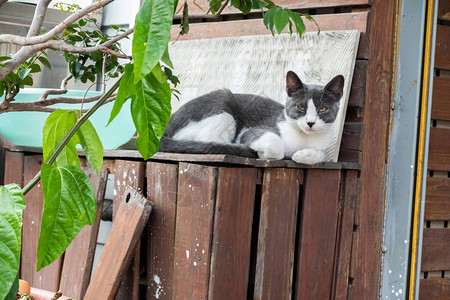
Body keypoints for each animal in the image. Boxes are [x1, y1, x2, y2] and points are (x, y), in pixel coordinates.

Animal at [160, 70, 346, 164]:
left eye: (323, 109)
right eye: (301, 107)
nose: (310, 123)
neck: (304, 138)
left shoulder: (322, 145)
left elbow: (321, 154)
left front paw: (301, 156)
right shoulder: (250, 131)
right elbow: (275, 143)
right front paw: (266, 154)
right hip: (223, 102)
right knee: (209, 139)